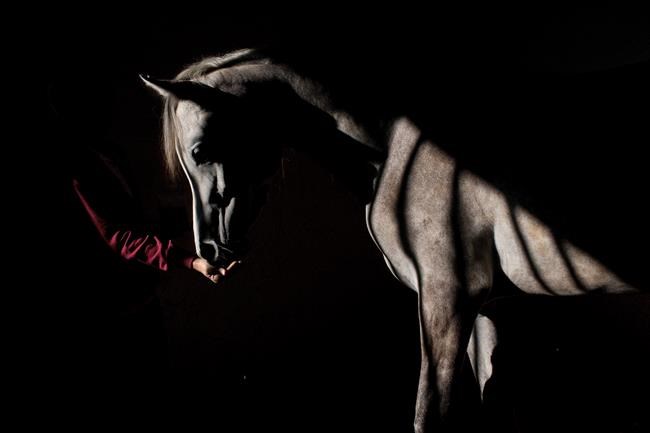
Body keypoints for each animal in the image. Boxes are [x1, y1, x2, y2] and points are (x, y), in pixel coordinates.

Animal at [141, 48, 640, 432]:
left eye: (199, 151)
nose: (209, 251)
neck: (390, 148)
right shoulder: (486, 306)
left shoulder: (446, 298)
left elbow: (429, 416)